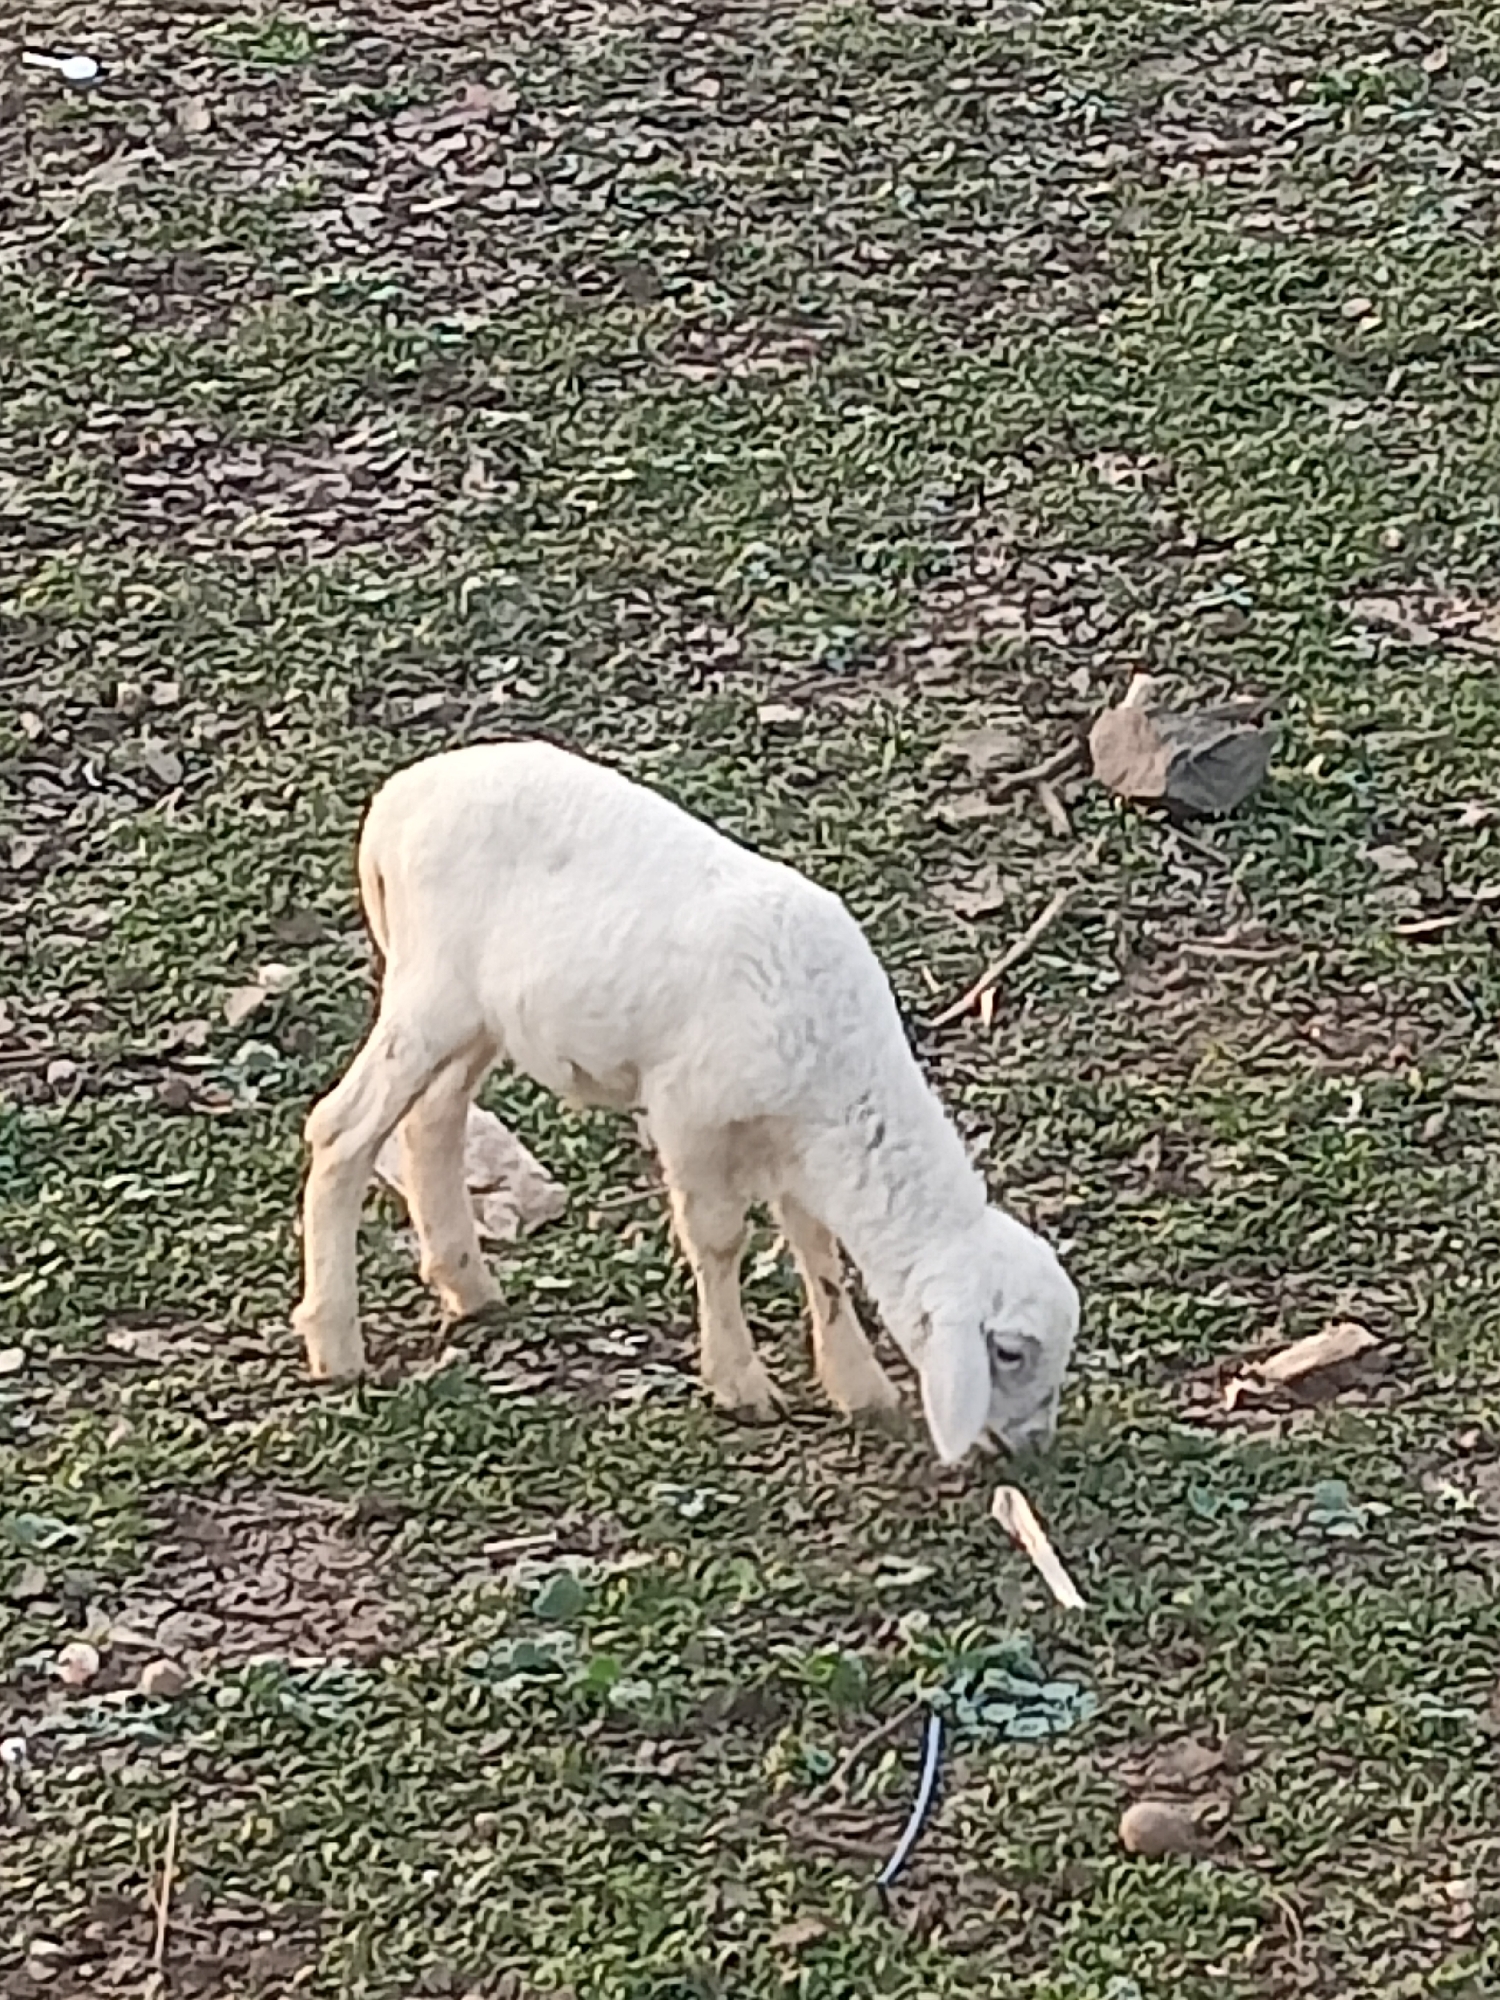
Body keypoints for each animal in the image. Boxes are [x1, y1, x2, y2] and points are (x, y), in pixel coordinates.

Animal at [291, 740, 1079, 1462]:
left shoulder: (794, 1144)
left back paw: (467, 1282)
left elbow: (818, 1250)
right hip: (429, 991)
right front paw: (740, 1384)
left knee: (433, 1120)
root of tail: (395, 803)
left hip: (480, 1018)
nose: (1034, 1446)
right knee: (341, 1129)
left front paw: (859, 1387)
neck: (836, 1066)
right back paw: (336, 1343)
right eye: (1008, 1352)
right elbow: (720, 1239)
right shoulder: (689, 1112)